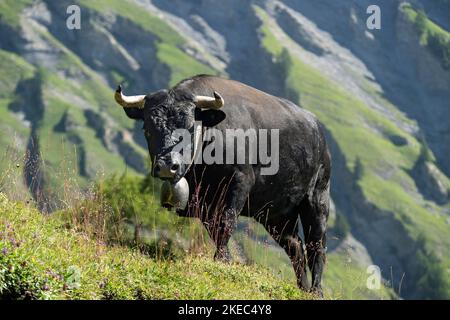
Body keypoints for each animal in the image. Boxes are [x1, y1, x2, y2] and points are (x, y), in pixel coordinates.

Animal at [113, 74, 330, 296]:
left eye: (190, 127)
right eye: (147, 128)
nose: (166, 166)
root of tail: (317, 130)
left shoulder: (239, 182)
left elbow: (227, 221)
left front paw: (222, 259)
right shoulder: (204, 202)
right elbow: (214, 228)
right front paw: (224, 257)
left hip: (317, 198)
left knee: (316, 246)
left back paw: (316, 290)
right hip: (275, 214)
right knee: (295, 246)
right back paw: (302, 288)